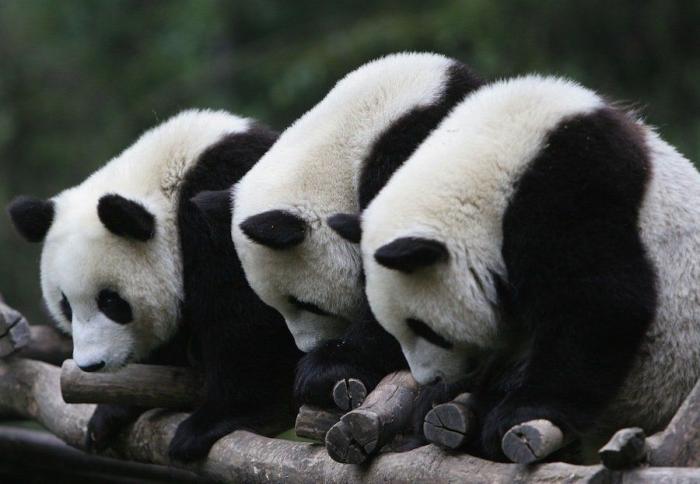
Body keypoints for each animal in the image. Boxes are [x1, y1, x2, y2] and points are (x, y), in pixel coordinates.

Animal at [7, 110, 300, 461]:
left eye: (110, 302)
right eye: (66, 305)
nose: (91, 365)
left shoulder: (224, 211)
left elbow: (246, 316)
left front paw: (215, 419)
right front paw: (112, 413)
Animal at [360, 75, 700, 462]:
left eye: (424, 328)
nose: (428, 379)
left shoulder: (574, 185)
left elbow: (601, 302)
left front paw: (519, 412)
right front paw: (444, 395)